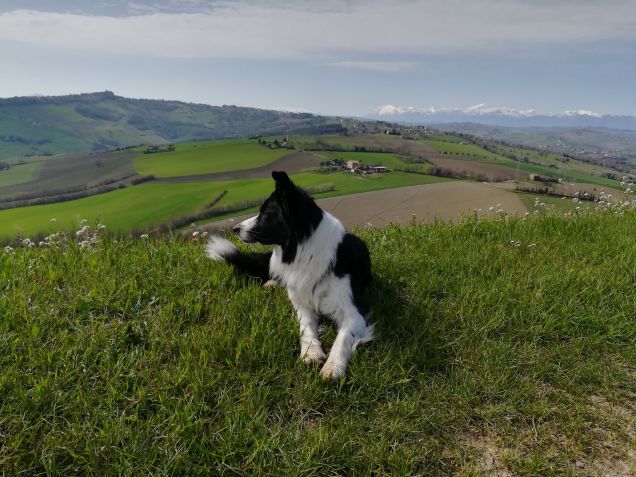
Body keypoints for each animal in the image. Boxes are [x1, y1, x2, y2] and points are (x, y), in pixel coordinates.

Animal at [206, 171, 372, 380]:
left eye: (265, 214)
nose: (234, 229)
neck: (308, 254)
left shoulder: (353, 312)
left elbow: (342, 338)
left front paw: (333, 366)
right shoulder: (303, 304)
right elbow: (305, 328)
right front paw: (311, 353)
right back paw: (271, 284)